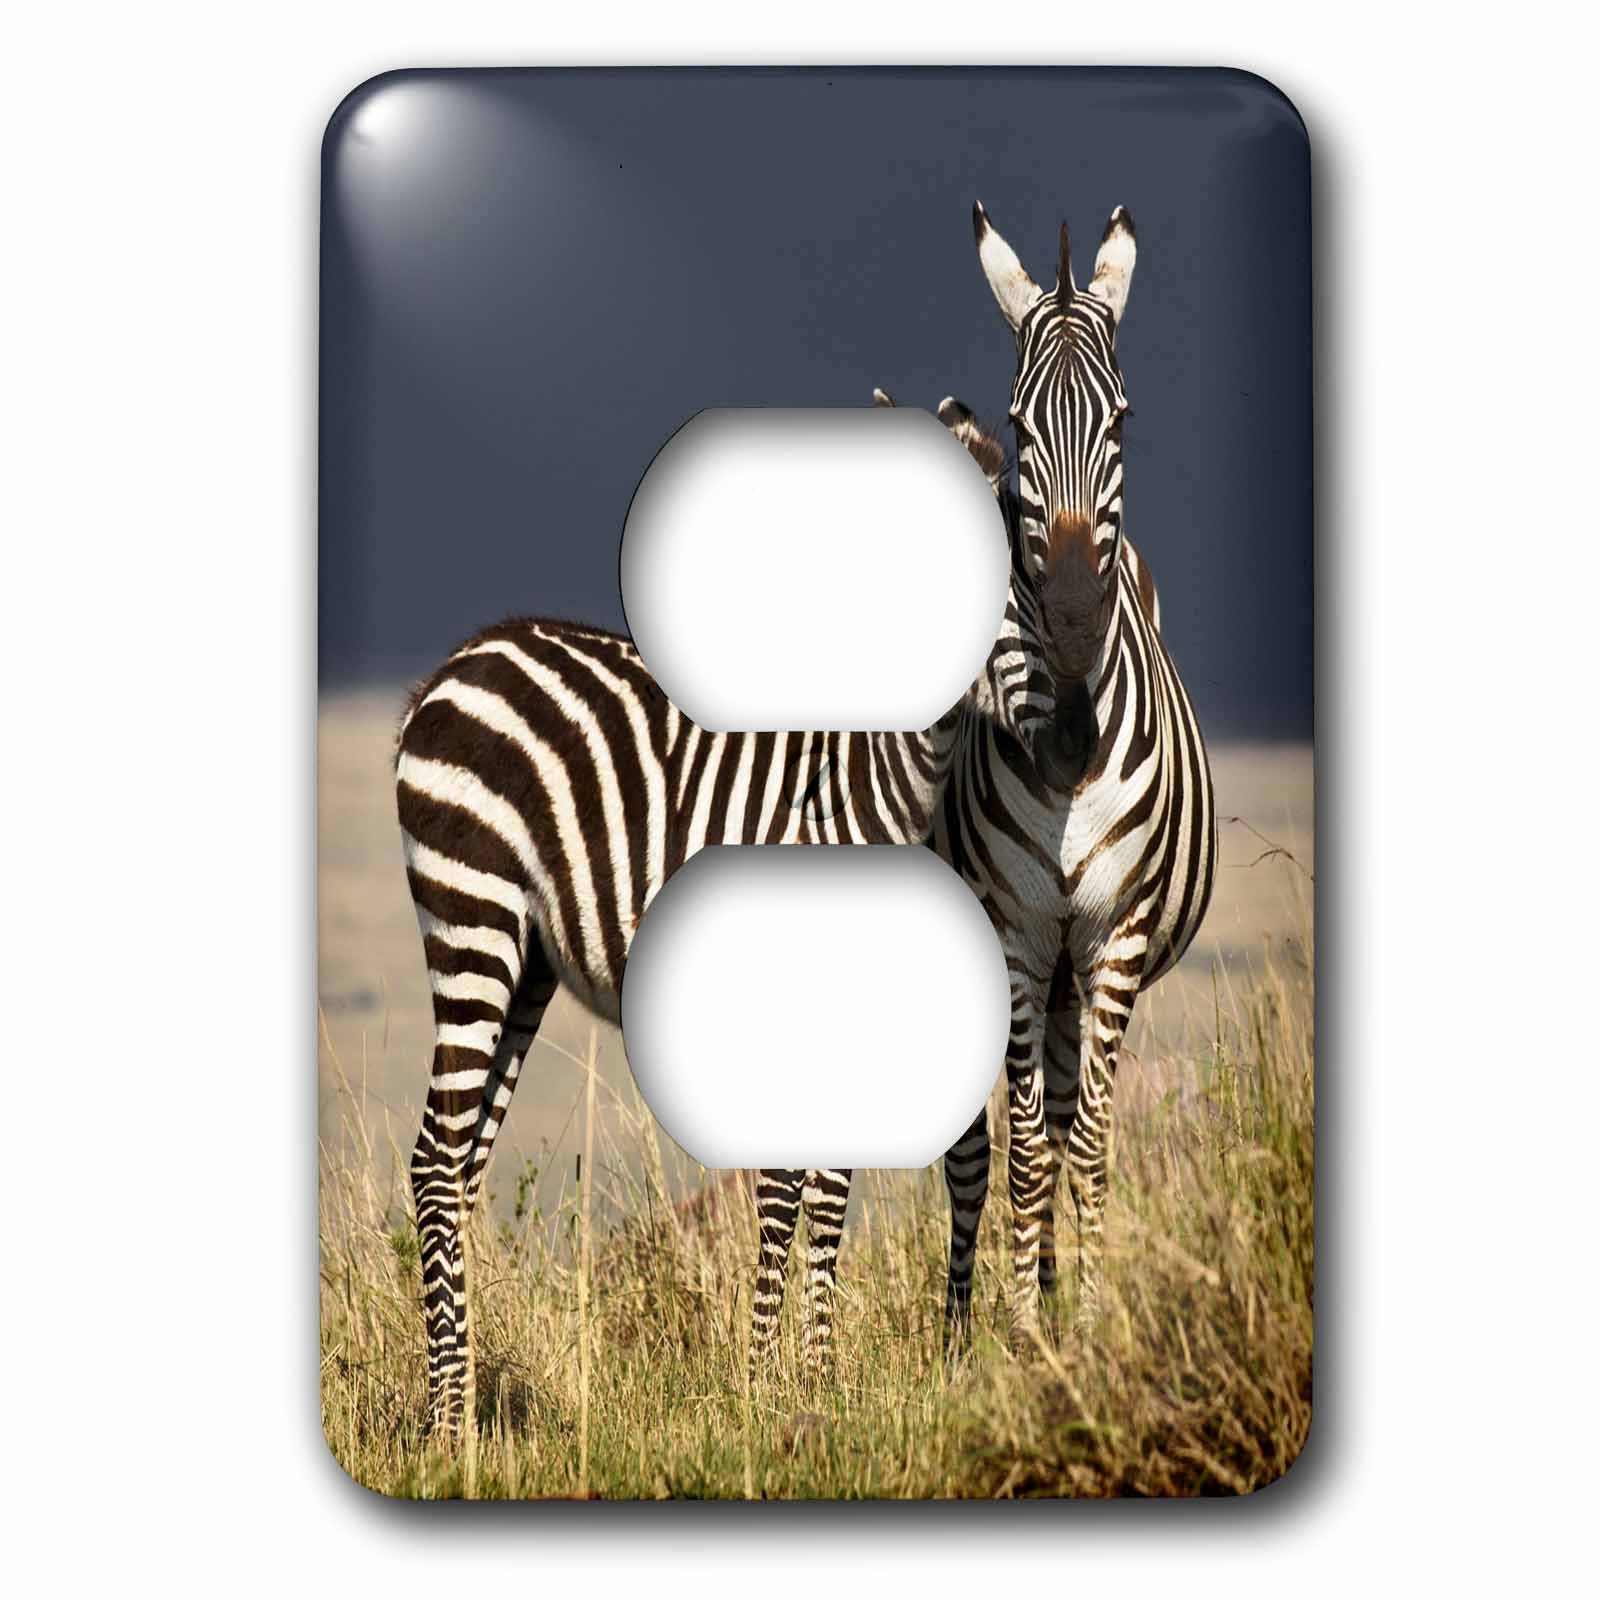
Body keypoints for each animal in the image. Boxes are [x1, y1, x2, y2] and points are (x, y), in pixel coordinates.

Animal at [393, 406, 1072, 1434]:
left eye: (1031, 576)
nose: (1076, 728)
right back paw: (449, 1427)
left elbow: (831, 1188)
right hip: (472, 914)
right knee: (435, 1161)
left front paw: (820, 1379)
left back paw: (460, 1401)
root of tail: (456, 664)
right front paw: (758, 1383)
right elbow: (785, 1188)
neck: (868, 784)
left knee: (465, 1166)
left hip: (526, 960)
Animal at [752, 203, 1216, 1366]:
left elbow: (1086, 1141)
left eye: (1123, 421)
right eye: (1019, 419)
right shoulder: (1009, 931)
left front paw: (1081, 1324)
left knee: (1062, 1111)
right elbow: (1019, 1149)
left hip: (1075, 968)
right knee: (981, 1147)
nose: (1072, 624)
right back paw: (972, 1323)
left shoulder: (1113, 935)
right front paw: (1017, 1330)